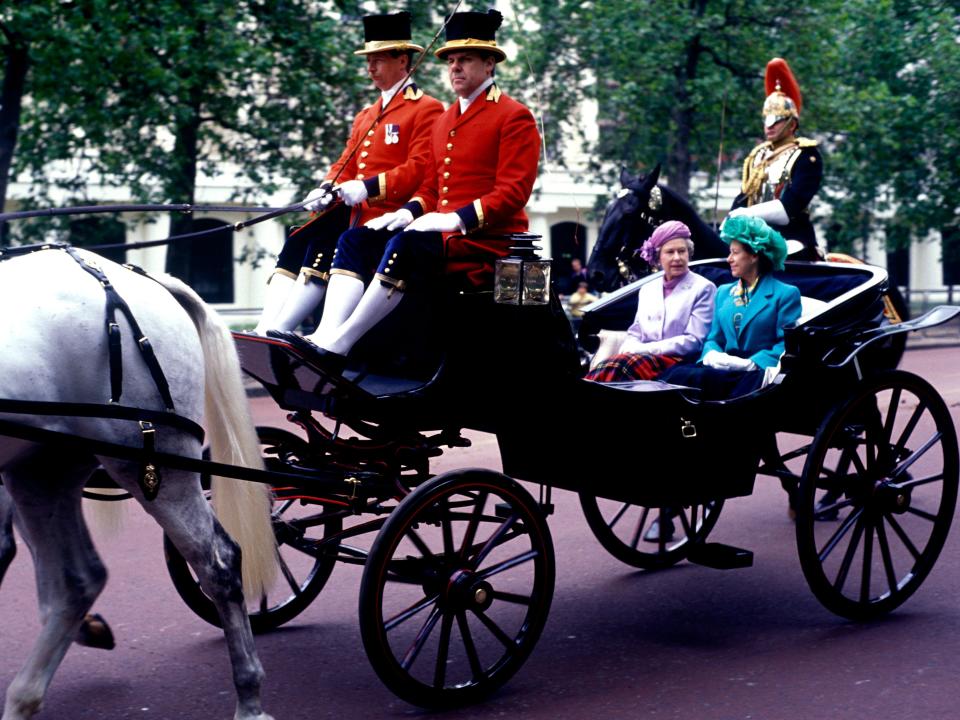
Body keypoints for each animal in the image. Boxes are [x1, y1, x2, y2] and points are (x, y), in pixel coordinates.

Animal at [0, 245, 278, 716]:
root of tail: (141, 277)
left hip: (153, 465)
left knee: (218, 561)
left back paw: (250, 699)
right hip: (41, 468)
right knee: (77, 580)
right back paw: (24, 697)